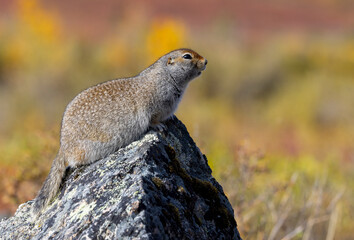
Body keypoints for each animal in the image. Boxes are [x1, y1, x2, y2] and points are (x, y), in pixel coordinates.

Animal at [32, 47, 207, 215]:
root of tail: (63, 146)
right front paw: (160, 126)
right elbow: (153, 119)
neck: (166, 76)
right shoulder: (153, 107)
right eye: (187, 56)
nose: (205, 61)